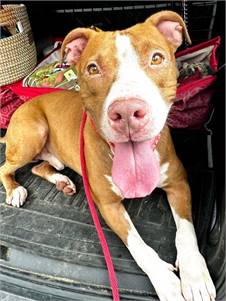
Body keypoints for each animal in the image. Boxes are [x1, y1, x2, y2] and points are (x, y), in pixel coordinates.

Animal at [0, 11, 215, 300]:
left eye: (156, 58)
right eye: (93, 69)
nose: (127, 112)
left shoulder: (179, 183)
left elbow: (186, 232)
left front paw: (195, 277)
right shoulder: (109, 205)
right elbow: (140, 248)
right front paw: (167, 284)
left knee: (40, 167)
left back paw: (62, 181)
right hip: (32, 134)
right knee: (6, 167)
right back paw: (15, 190)